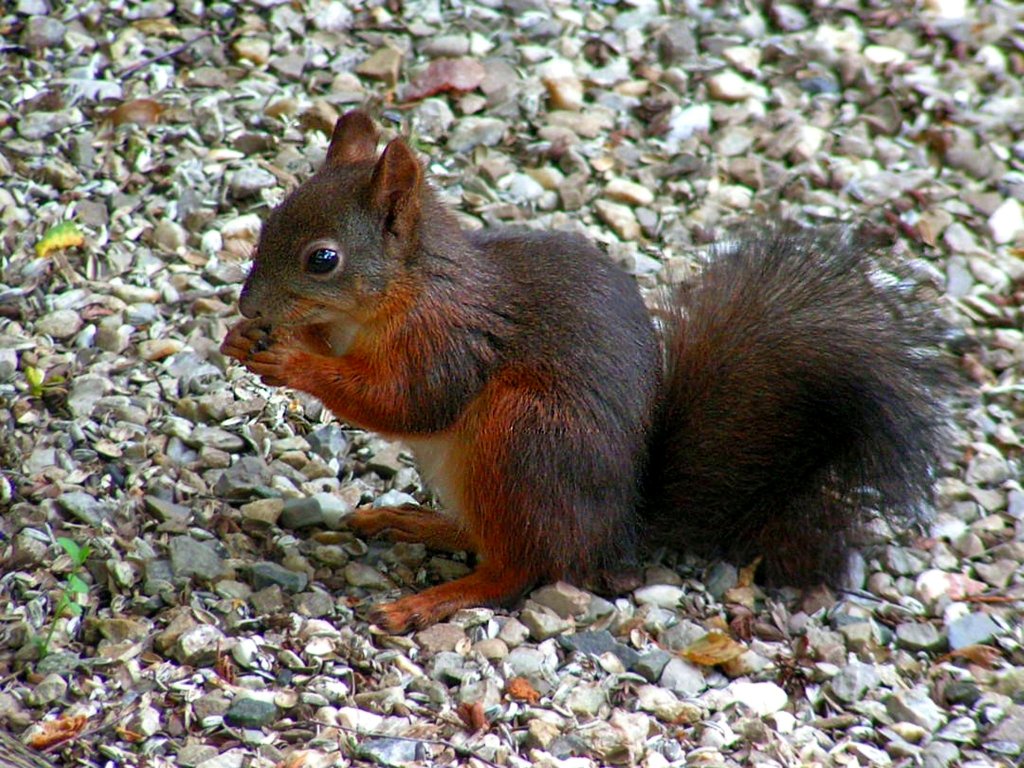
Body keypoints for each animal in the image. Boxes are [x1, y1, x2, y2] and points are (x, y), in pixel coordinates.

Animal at [222, 111, 950, 634]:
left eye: (323, 260)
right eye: (269, 219)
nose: (248, 305)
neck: (405, 292)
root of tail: (618, 530)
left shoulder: (450, 344)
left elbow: (403, 403)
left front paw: (291, 359)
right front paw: (247, 338)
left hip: (522, 436)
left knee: (520, 566)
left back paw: (430, 599)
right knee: (491, 538)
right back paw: (413, 522)